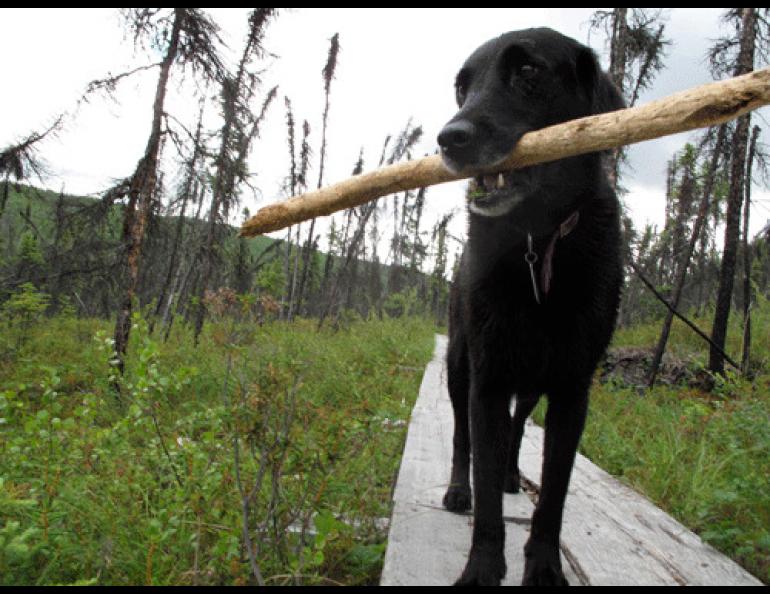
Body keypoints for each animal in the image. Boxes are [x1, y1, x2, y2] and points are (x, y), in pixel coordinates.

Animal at [438, 27, 624, 584]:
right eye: (462, 87)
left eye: (528, 71)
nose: (448, 138)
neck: (536, 242)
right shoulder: (488, 379)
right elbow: (485, 490)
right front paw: (482, 567)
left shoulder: (571, 390)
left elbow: (554, 496)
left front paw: (543, 566)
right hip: (459, 364)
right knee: (463, 438)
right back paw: (459, 489)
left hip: (534, 381)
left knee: (518, 429)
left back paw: (511, 475)